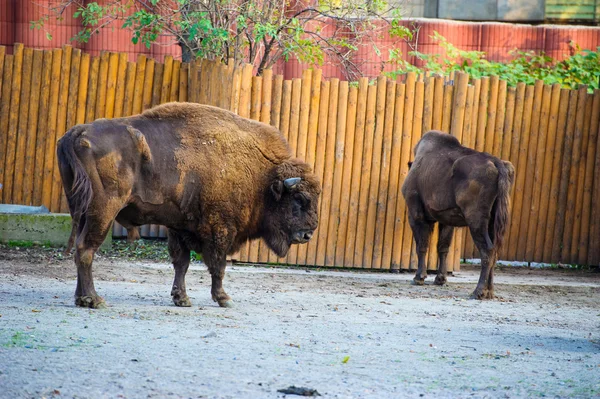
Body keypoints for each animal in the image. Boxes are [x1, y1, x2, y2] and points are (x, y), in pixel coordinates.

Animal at [57, 102, 324, 310]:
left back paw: (81, 298)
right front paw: (224, 298)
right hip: (102, 211)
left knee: (81, 248)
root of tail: (78, 132)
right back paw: (94, 300)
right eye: (299, 199)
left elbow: (181, 264)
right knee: (86, 249)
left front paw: (182, 299)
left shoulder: (180, 227)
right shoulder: (221, 229)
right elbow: (217, 265)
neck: (262, 178)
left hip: (81, 210)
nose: (308, 234)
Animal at [400, 131, 512, 300]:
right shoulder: (445, 221)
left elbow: (422, 246)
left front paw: (418, 278)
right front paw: (440, 279)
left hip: (476, 221)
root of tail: (497, 163)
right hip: (492, 223)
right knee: (494, 252)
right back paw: (489, 292)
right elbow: (443, 247)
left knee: (488, 250)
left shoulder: (416, 216)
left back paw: (478, 291)